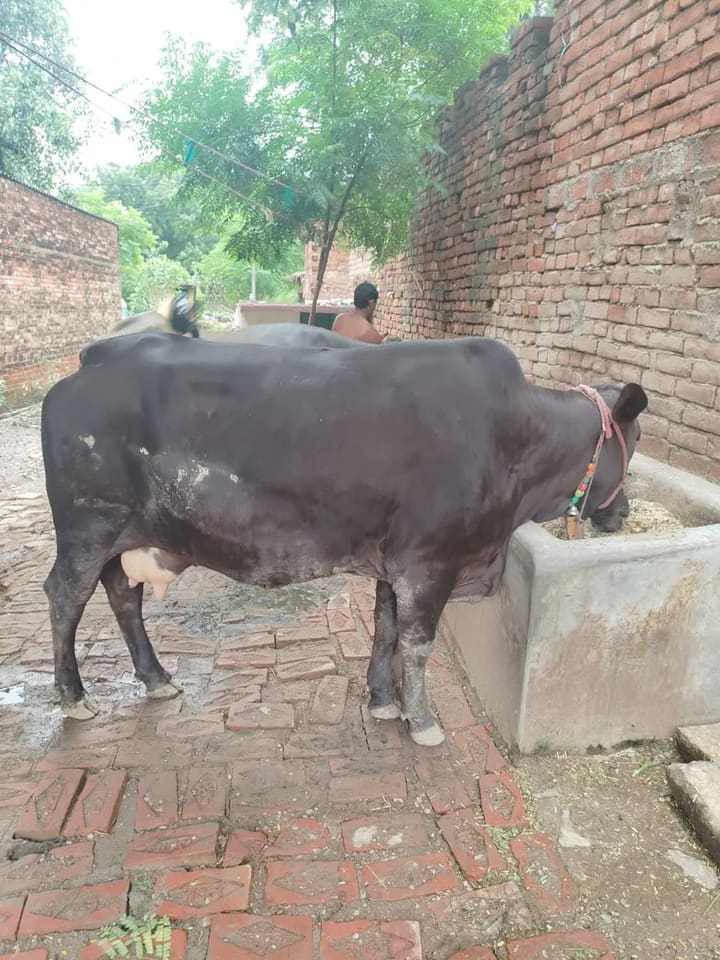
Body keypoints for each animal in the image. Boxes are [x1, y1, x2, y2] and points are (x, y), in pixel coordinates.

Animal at [41, 333, 647, 744]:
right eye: (635, 443)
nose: (623, 513)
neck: (515, 440)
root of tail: (93, 358)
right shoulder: (430, 563)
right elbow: (417, 643)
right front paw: (422, 720)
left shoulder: (394, 563)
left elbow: (385, 628)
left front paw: (383, 701)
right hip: (87, 528)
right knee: (66, 597)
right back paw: (73, 697)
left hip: (123, 534)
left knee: (124, 595)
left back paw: (157, 678)